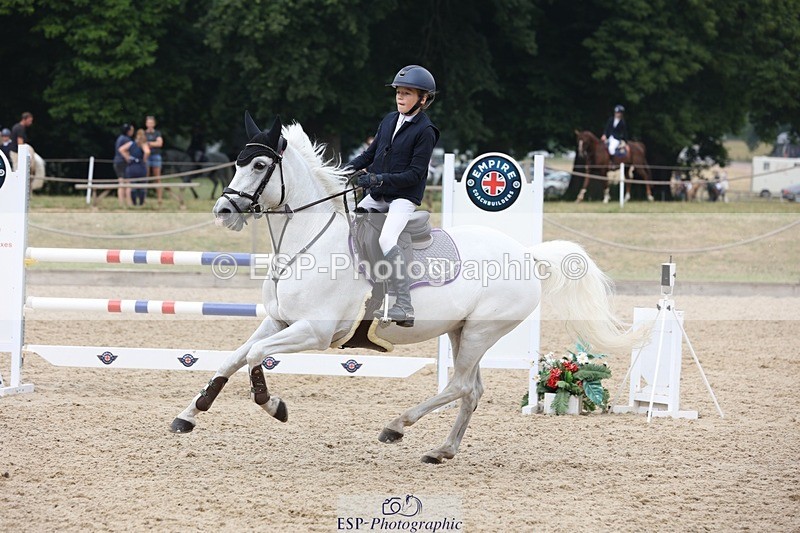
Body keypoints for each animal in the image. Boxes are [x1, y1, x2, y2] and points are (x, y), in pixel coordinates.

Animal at [169, 113, 645, 464]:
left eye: (260, 165)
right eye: (236, 162)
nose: (223, 210)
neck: (307, 242)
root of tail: (526, 254)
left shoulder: (313, 331)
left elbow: (255, 358)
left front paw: (274, 405)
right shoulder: (278, 321)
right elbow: (233, 358)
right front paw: (190, 414)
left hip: (481, 331)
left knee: (458, 386)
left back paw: (396, 427)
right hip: (460, 331)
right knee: (471, 390)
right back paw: (442, 450)